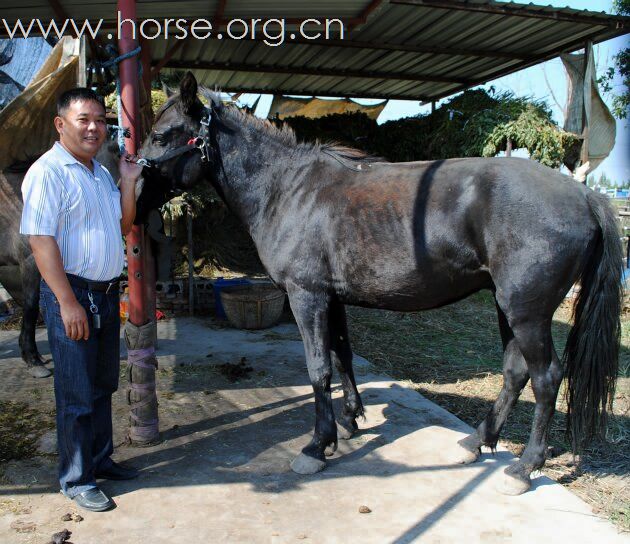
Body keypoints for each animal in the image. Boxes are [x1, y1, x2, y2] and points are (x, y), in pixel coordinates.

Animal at [142, 73, 624, 498]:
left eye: (163, 136)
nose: (137, 193)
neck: (287, 189)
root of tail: (584, 195)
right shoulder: (330, 297)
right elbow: (341, 354)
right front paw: (350, 419)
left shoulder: (306, 296)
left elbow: (318, 368)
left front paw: (317, 446)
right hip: (508, 307)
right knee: (516, 373)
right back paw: (476, 442)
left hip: (527, 311)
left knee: (546, 378)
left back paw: (524, 468)